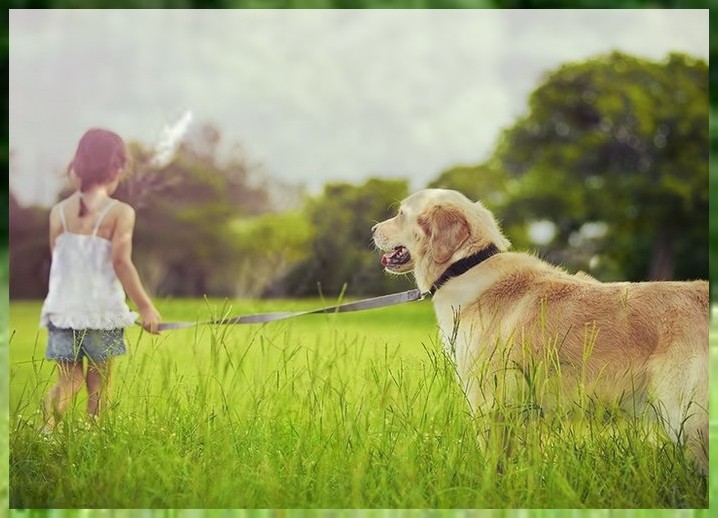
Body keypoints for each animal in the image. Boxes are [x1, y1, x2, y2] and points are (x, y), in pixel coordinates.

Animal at [374, 190, 712, 476]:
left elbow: (492, 463)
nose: (373, 229)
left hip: (689, 418)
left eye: (401, 214)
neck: (465, 266)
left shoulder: (488, 402)